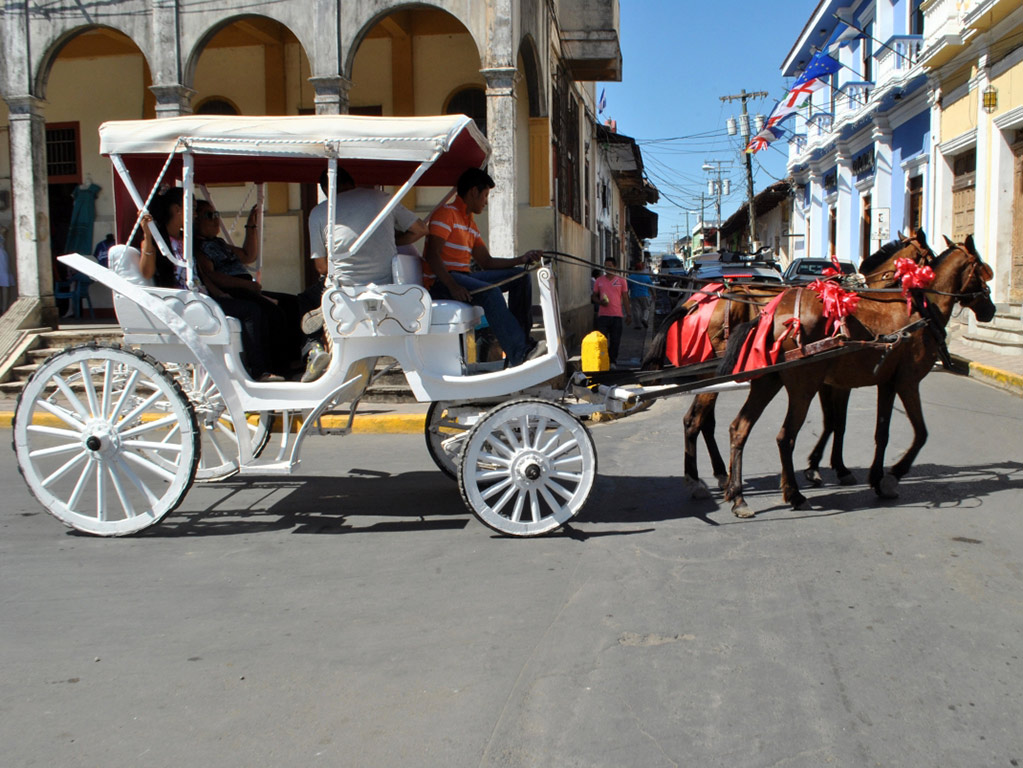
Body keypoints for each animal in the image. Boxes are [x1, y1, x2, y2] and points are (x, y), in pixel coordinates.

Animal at [642, 231, 935, 500]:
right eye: (929, 259)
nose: (927, 300)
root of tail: (694, 301)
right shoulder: (837, 380)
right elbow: (837, 422)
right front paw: (834, 469)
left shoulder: (827, 379)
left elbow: (832, 422)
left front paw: (819, 468)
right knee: (696, 420)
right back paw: (702, 480)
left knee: (704, 422)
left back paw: (720, 474)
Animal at [719, 235, 996, 518]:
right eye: (981, 270)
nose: (990, 310)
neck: (922, 309)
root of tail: (772, 313)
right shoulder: (906, 382)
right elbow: (920, 433)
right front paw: (893, 475)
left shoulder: (885, 382)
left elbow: (878, 431)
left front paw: (874, 478)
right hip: (803, 387)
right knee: (785, 437)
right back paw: (794, 494)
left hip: (768, 381)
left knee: (740, 428)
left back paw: (738, 496)